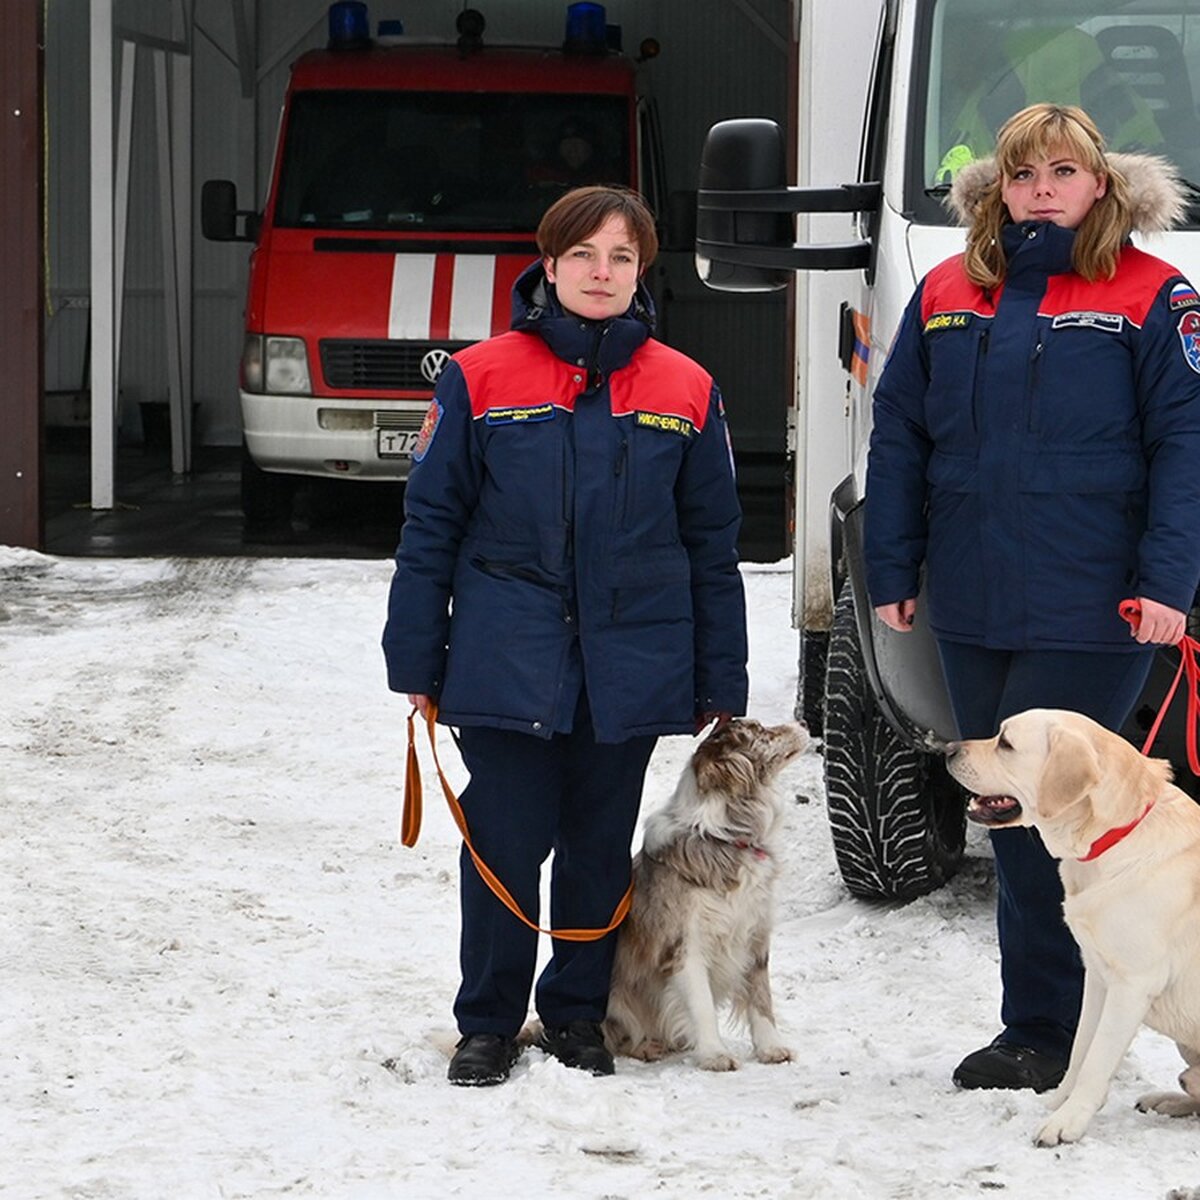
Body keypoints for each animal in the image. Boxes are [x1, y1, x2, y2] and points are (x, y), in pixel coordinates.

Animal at [604, 715, 811, 1075]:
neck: (725, 838)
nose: (803, 721)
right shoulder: (685, 945)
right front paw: (714, 1054)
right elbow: (701, 1005)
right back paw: (646, 1046)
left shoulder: (755, 934)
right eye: (761, 732)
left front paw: (771, 1048)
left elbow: (761, 998)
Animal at [945, 705, 1200, 1147]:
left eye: (1006, 742)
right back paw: (1167, 1099)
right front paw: (1059, 1103)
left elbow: (1097, 1061)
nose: (945, 750)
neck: (1115, 839)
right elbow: (1081, 1049)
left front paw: (1068, 1122)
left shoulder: (1132, 985)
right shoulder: (1097, 976)